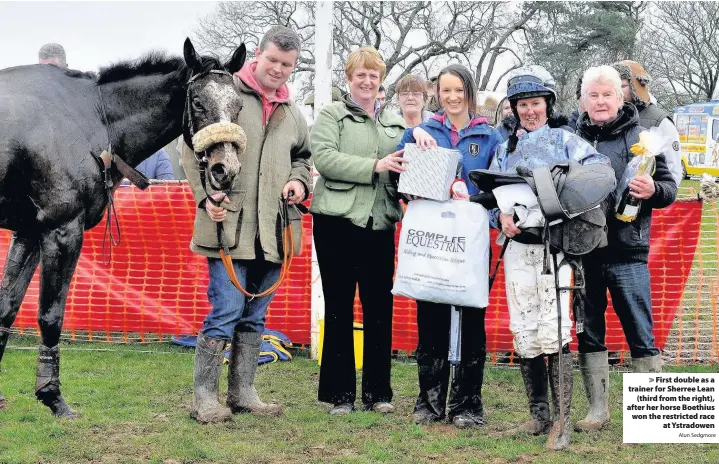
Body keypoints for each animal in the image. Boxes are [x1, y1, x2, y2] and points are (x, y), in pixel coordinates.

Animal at [0, 39, 248, 416]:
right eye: (197, 102)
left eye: (238, 104)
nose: (225, 169)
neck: (92, 115)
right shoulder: (61, 231)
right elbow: (50, 315)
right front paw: (52, 395)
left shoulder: (28, 233)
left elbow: (6, 309)